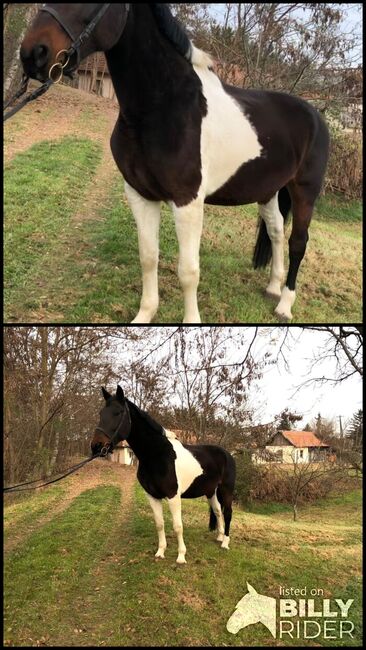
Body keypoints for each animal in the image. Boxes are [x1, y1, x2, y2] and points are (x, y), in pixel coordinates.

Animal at [20, 2, 328, 322]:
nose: (33, 53)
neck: (164, 106)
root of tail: (315, 116)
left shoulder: (187, 202)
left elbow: (188, 271)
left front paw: (190, 321)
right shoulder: (140, 195)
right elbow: (148, 257)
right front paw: (144, 315)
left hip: (305, 191)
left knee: (298, 242)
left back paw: (284, 305)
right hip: (268, 191)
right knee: (276, 231)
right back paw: (272, 288)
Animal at [90, 384, 236, 560]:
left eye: (117, 413)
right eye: (100, 413)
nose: (96, 446)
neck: (157, 455)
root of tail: (227, 454)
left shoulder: (173, 496)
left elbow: (178, 526)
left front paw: (181, 556)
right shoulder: (152, 496)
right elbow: (159, 524)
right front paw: (160, 552)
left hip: (226, 490)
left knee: (228, 513)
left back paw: (225, 543)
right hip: (211, 491)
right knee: (218, 511)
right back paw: (220, 537)